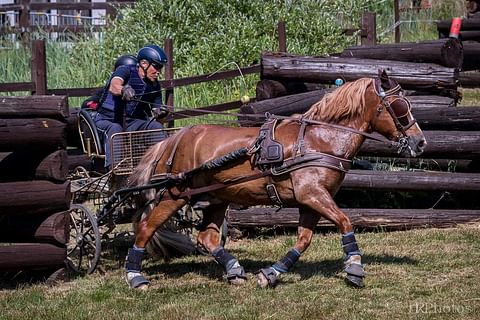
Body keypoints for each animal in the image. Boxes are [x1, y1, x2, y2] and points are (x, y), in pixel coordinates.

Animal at [125, 70, 426, 290]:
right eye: (400, 106)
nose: (420, 142)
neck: (320, 140)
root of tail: (176, 137)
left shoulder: (311, 201)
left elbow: (304, 240)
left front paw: (271, 273)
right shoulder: (312, 194)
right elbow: (345, 221)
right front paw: (354, 268)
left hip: (217, 197)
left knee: (207, 237)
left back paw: (234, 270)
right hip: (175, 195)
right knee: (146, 228)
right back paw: (135, 276)